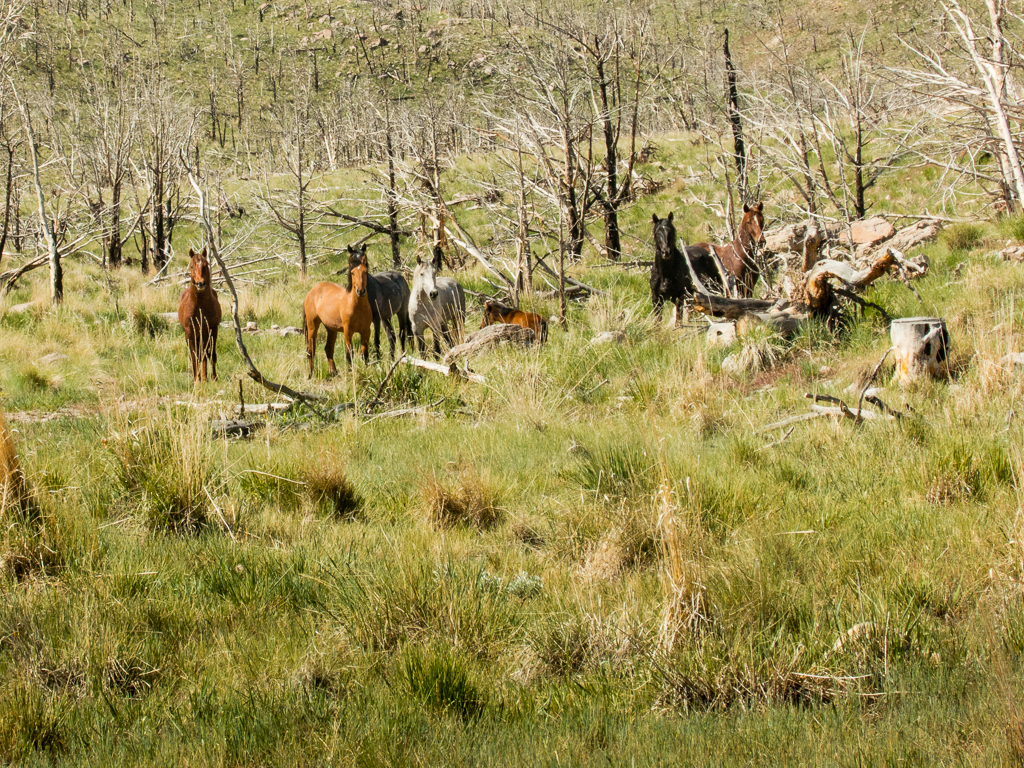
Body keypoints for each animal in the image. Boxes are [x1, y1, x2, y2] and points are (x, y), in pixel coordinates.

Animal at [177, 247, 221, 382]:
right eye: (191, 266)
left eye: (206, 265)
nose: (200, 283)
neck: (200, 307)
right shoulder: (189, 333)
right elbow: (194, 356)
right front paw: (196, 380)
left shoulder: (212, 330)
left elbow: (211, 354)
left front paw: (212, 378)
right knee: (197, 355)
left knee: (204, 354)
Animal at [299, 246, 372, 378]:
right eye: (352, 272)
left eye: (365, 271)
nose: (360, 291)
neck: (357, 307)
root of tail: (311, 292)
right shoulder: (348, 332)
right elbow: (350, 354)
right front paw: (351, 374)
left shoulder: (366, 331)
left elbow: (365, 354)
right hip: (312, 325)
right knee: (310, 349)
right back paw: (311, 374)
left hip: (331, 329)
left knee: (328, 348)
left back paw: (334, 372)